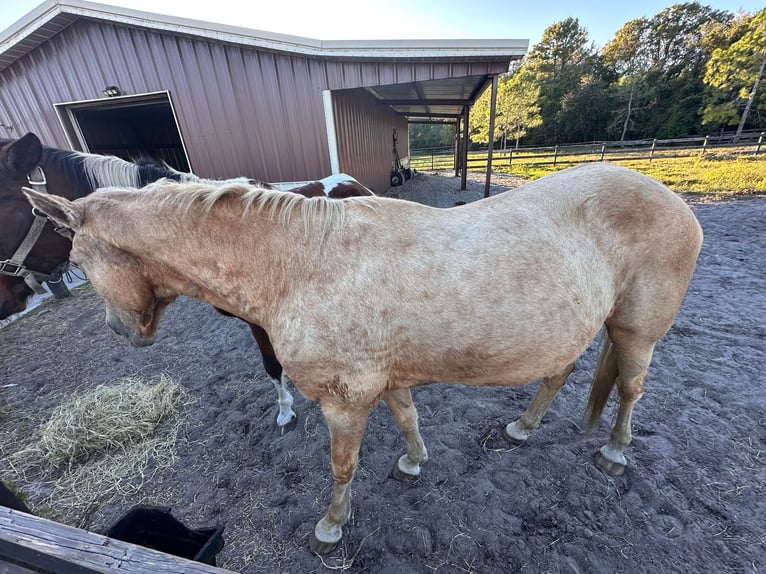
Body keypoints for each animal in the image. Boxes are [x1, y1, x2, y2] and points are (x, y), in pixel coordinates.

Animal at [23, 163, 704, 554]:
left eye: (76, 257)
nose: (121, 330)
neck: (301, 262)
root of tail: (671, 199)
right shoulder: (384, 380)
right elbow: (407, 418)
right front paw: (413, 462)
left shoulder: (344, 402)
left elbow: (341, 467)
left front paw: (330, 528)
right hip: (574, 328)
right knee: (560, 370)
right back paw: (523, 426)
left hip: (635, 331)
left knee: (631, 389)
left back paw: (614, 452)